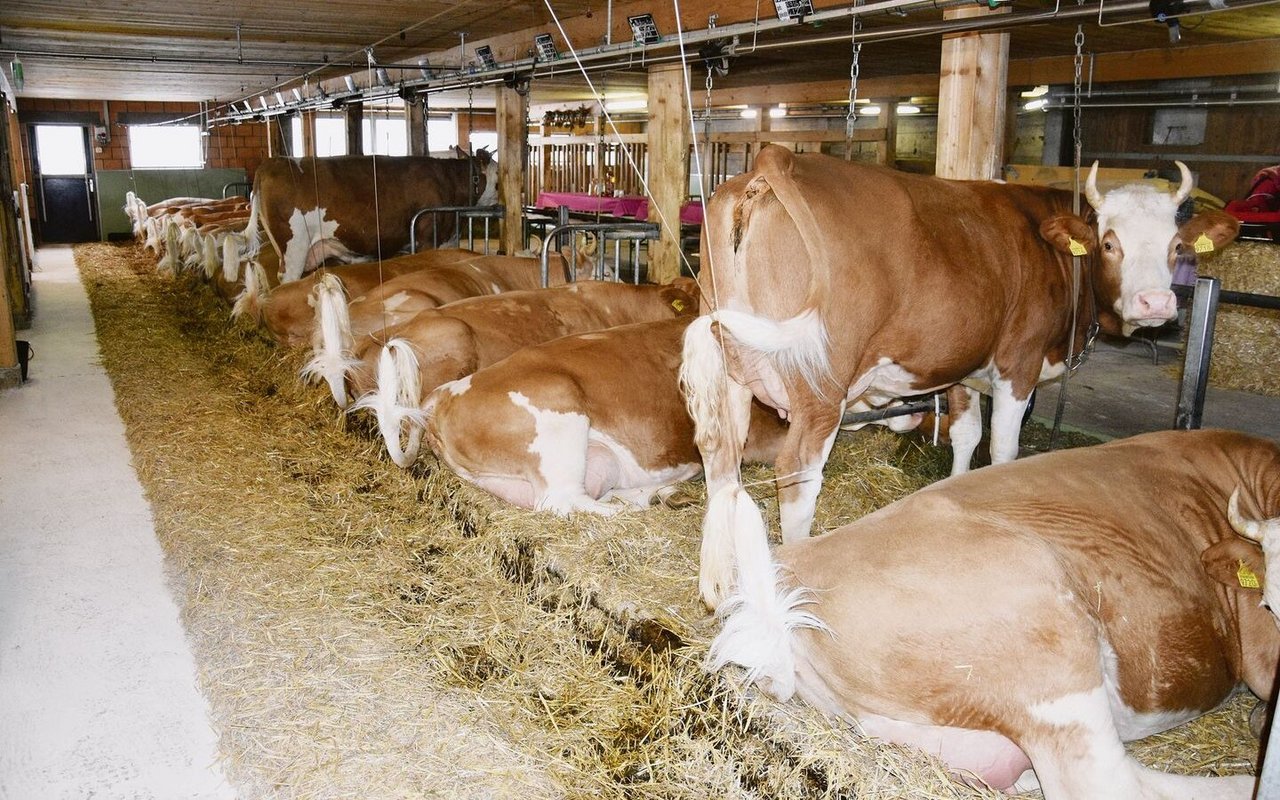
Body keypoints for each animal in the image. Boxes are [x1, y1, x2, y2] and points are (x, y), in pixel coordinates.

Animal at [686, 143, 1244, 604]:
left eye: (1177, 245)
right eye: (1109, 243)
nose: (1157, 304)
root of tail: (775, 159)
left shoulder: (963, 370)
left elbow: (965, 435)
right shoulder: (1018, 361)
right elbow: (1002, 448)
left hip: (732, 366)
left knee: (722, 460)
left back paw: (721, 584)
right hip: (821, 384)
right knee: (797, 472)